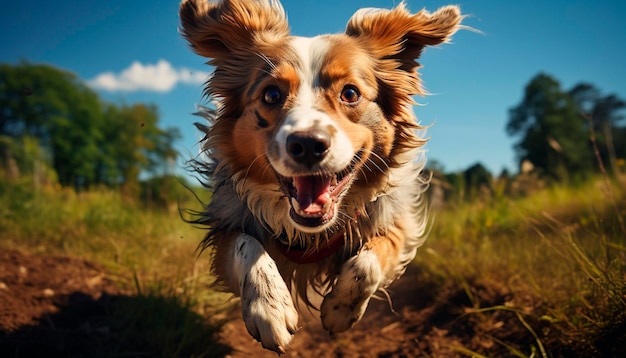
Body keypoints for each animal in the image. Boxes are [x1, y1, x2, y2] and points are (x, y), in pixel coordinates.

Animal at [178, 0, 460, 352]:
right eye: (271, 95)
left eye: (350, 93)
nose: (308, 144)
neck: (311, 235)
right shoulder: (228, 221)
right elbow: (247, 245)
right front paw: (269, 309)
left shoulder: (394, 221)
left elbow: (368, 263)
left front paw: (341, 309)